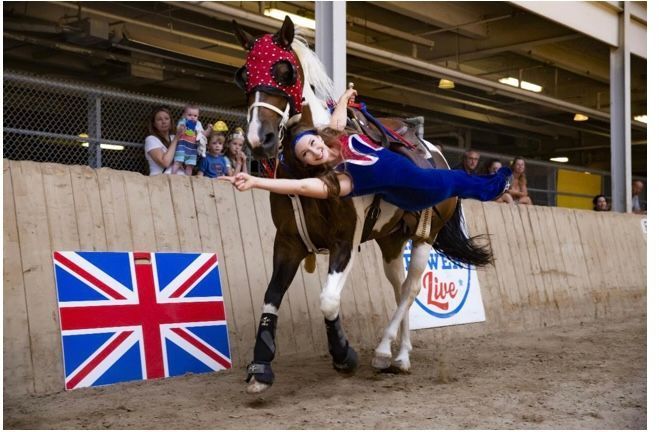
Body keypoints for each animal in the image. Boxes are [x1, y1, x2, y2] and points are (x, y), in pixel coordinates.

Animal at [232, 16, 493, 394]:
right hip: (391, 241)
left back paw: (386, 352)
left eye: (284, 71)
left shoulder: (345, 240)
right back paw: (402, 354)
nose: (258, 139)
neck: (308, 167)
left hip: (424, 238)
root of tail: (439, 155)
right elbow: (272, 296)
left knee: (411, 288)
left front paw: (343, 354)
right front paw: (261, 367)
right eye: (244, 75)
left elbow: (328, 300)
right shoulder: (289, 241)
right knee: (399, 287)